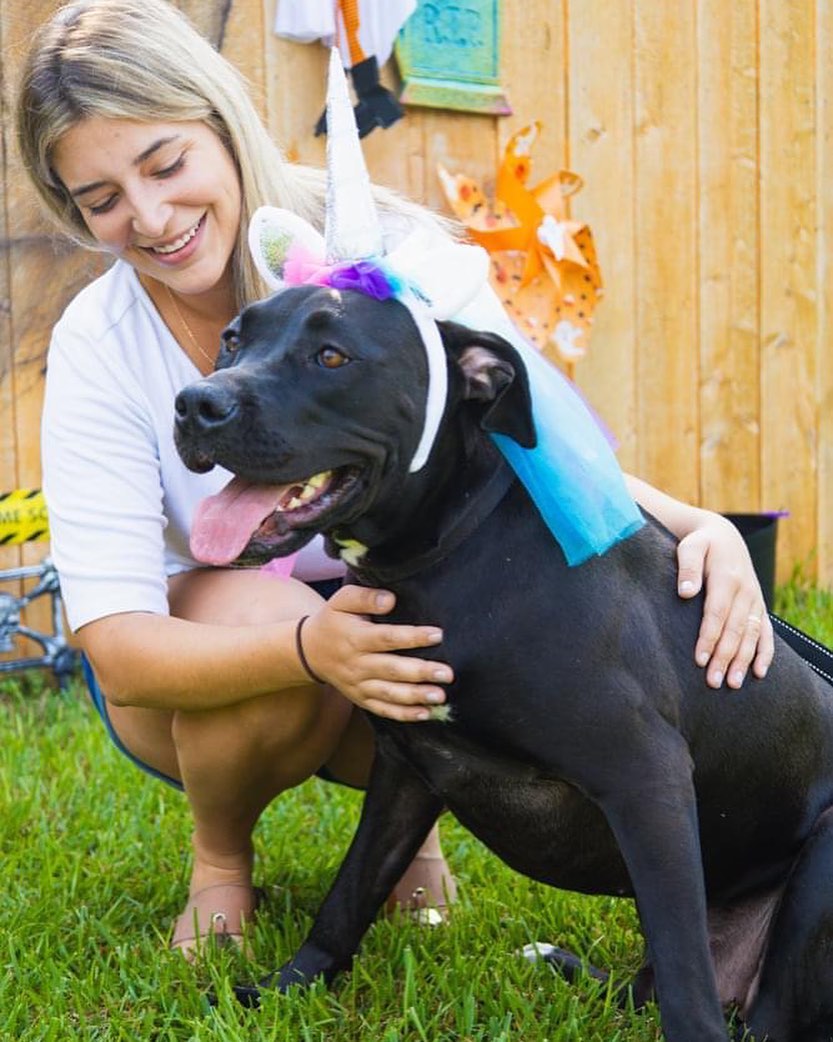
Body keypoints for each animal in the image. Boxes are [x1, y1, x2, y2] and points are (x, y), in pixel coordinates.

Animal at [174, 285, 833, 1042]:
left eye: (332, 355)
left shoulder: (646, 777)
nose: (195, 404)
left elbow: (683, 968)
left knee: (754, 1010)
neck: (453, 551)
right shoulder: (407, 768)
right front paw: (282, 992)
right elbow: (348, 894)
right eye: (232, 340)